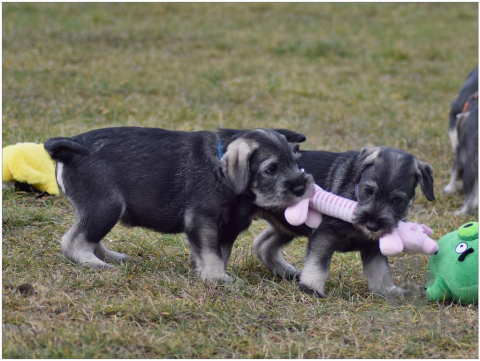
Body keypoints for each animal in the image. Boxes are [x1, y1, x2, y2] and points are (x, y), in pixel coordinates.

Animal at [45, 126, 314, 282]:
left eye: (295, 161)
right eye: (271, 169)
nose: (301, 188)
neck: (221, 168)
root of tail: (66, 148)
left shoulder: (226, 227)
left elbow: (219, 251)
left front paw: (208, 272)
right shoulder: (202, 220)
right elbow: (212, 252)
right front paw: (216, 277)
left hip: (101, 211)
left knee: (91, 238)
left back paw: (111, 258)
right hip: (105, 207)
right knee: (74, 241)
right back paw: (95, 264)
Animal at [255, 145, 436, 296]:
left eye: (397, 200)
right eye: (368, 191)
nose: (372, 225)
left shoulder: (373, 245)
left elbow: (380, 269)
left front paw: (388, 291)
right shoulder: (325, 235)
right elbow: (318, 263)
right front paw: (311, 288)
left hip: (288, 226)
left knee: (263, 245)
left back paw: (286, 272)